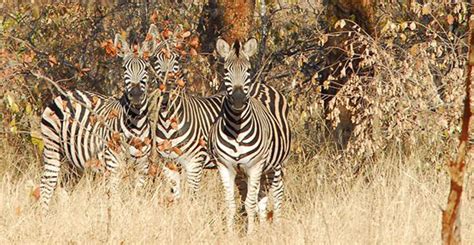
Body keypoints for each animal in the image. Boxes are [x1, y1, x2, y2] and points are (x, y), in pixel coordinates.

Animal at [40, 30, 154, 212]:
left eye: (147, 68)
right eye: (124, 68)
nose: (136, 95)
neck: (136, 123)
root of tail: (65, 93)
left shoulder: (142, 166)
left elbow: (137, 199)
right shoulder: (113, 165)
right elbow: (114, 200)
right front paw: (115, 219)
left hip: (74, 161)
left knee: (65, 185)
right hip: (52, 147)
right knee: (47, 183)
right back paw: (43, 216)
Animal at [209, 38, 290, 234]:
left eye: (247, 70)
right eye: (226, 71)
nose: (238, 99)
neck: (237, 128)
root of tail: (261, 85)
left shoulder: (255, 165)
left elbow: (250, 204)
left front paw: (251, 234)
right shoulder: (226, 166)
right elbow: (231, 204)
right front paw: (231, 234)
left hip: (275, 165)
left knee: (277, 194)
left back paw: (276, 227)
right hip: (249, 172)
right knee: (262, 196)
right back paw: (263, 227)